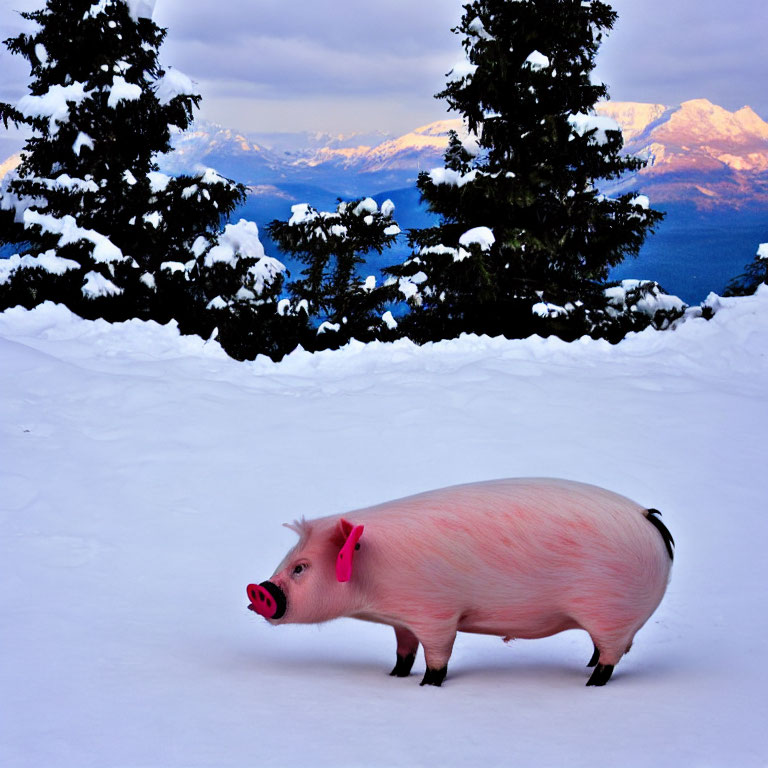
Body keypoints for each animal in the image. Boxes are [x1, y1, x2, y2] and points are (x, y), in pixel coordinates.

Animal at [246, 476, 672, 688]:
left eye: (301, 568)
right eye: (289, 562)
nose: (258, 590)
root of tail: (649, 517)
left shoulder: (436, 612)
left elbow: (438, 656)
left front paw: (426, 686)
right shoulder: (403, 618)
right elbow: (404, 650)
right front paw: (394, 677)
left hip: (609, 611)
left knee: (612, 656)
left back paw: (590, 684)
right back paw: (586, 666)